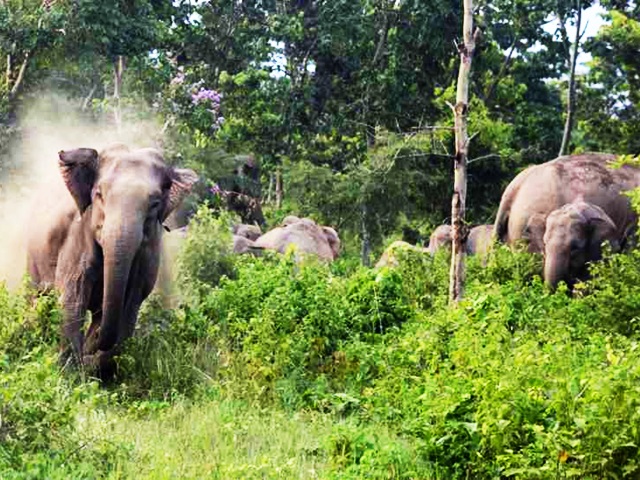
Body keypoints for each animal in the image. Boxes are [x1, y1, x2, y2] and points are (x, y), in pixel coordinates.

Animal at [26, 144, 198, 376]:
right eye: (99, 194)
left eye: (154, 204)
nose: (91, 347)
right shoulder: (78, 235)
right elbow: (73, 295)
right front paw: (71, 372)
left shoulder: (148, 253)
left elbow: (131, 303)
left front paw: (92, 364)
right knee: (37, 297)